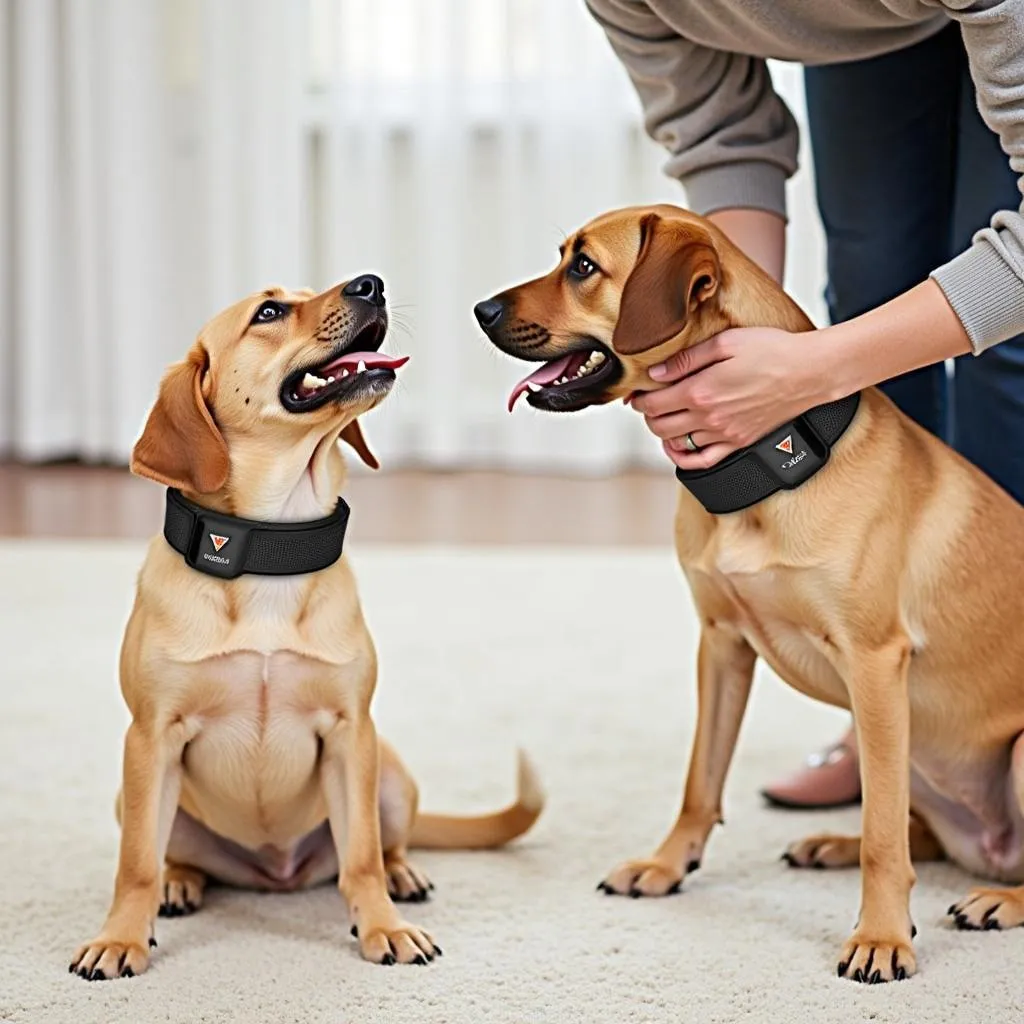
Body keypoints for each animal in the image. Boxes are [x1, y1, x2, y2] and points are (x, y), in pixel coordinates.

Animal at [70, 276, 544, 978]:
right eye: (268, 311)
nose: (373, 283)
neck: (272, 543)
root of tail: (277, 874)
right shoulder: (151, 738)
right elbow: (135, 867)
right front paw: (121, 937)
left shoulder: (350, 733)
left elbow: (361, 858)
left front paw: (383, 926)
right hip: (137, 794)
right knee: (169, 857)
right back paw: (180, 883)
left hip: (389, 774)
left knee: (382, 847)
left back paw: (404, 876)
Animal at [473, 207, 1024, 983]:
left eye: (583, 267)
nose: (480, 310)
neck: (772, 460)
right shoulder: (722, 644)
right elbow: (700, 783)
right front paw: (666, 866)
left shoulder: (875, 664)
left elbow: (884, 835)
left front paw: (882, 936)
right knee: (924, 835)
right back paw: (830, 845)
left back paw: (996, 900)